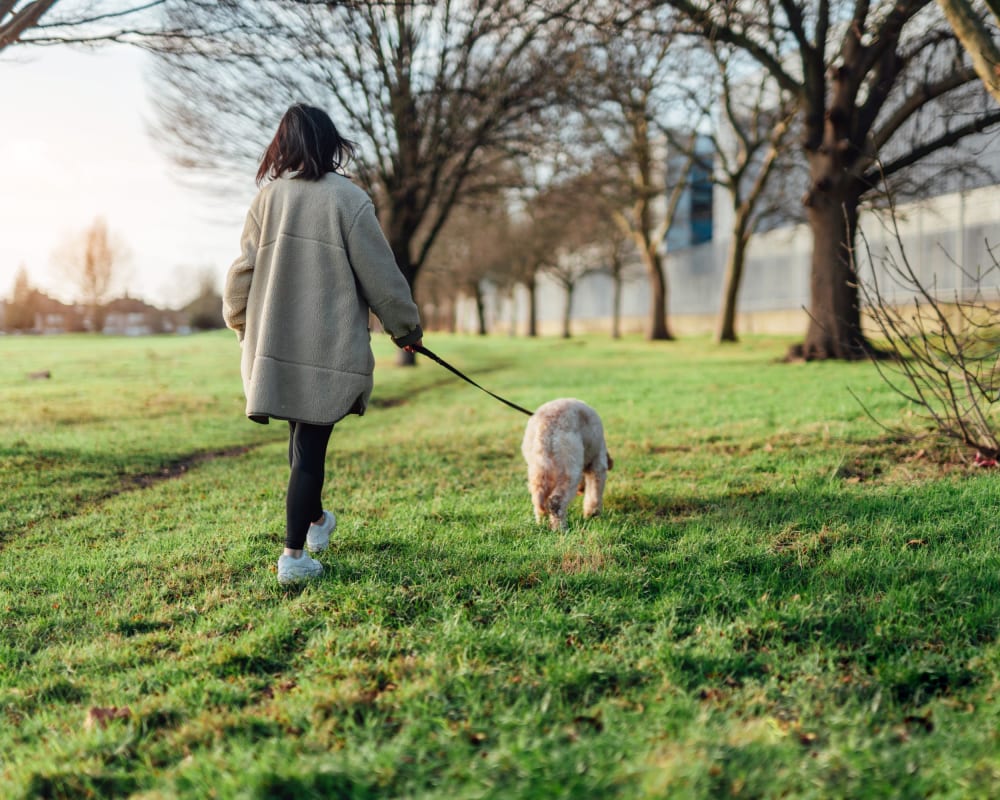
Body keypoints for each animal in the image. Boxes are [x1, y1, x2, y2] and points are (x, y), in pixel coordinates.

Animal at [520, 396, 612, 532]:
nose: (580, 490)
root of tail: (546, 425)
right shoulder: (597, 465)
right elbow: (594, 493)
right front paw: (593, 515)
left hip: (537, 467)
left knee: (538, 501)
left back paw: (541, 524)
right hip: (569, 466)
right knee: (556, 502)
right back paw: (560, 529)